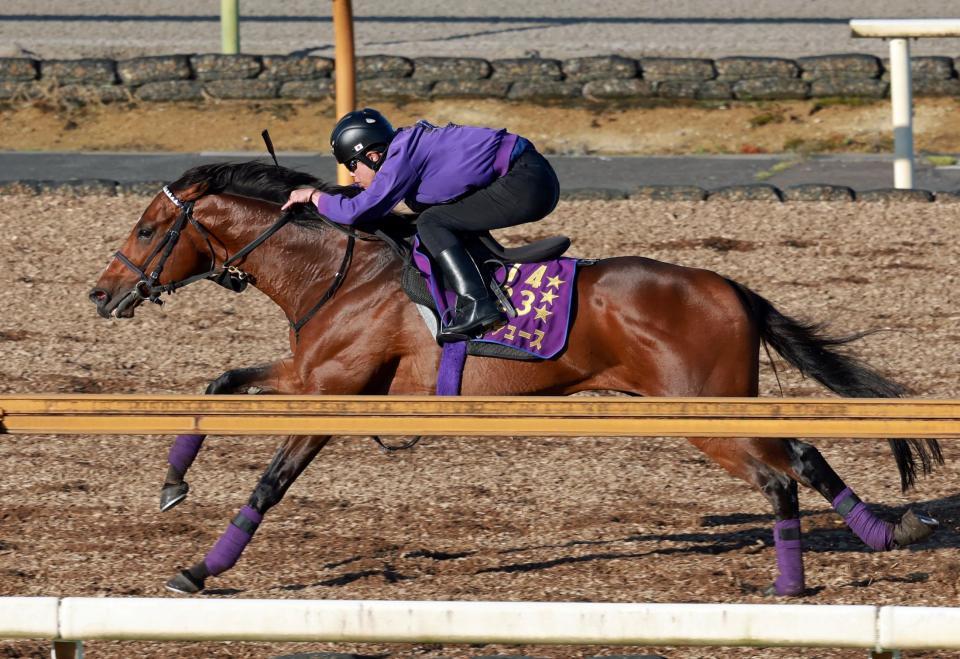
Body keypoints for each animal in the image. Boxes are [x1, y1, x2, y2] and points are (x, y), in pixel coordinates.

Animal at [86, 161, 940, 600]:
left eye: (149, 228)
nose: (101, 293)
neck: (342, 272)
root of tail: (731, 288)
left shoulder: (327, 394)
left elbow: (269, 481)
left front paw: (201, 567)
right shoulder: (306, 375)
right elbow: (217, 382)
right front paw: (172, 480)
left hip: (699, 411)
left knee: (780, 475)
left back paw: (790, 586)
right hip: (727, 403)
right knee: (806, 454)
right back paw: (885, 530)